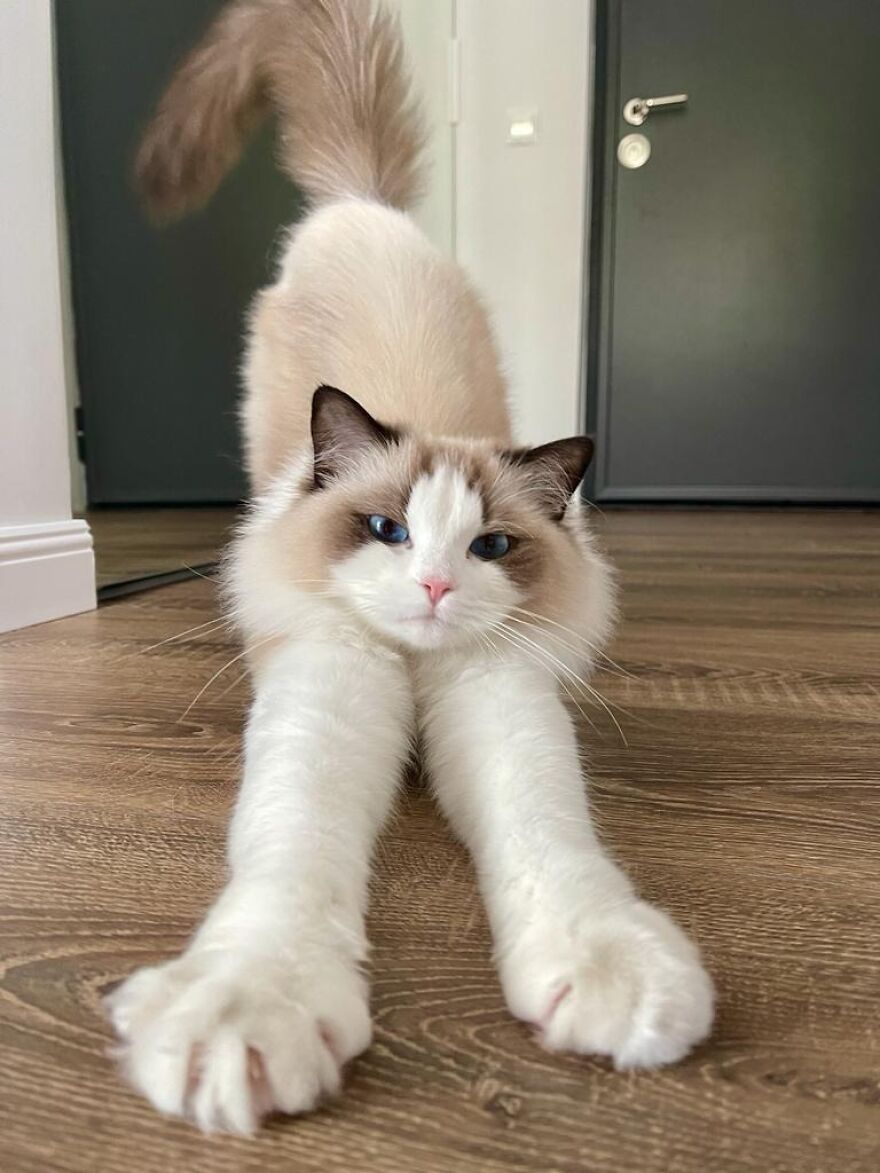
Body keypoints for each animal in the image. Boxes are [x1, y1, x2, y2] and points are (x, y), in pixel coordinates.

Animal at [108, 2, 718, 1135]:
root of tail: (362, 206)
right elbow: (290, 860)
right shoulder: (325, 693)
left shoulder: (498, 701)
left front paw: (612, 980)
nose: (434, 588)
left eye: (490, 547)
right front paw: (242, 1018)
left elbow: (550, 842)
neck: (417, 667)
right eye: (388, 530)